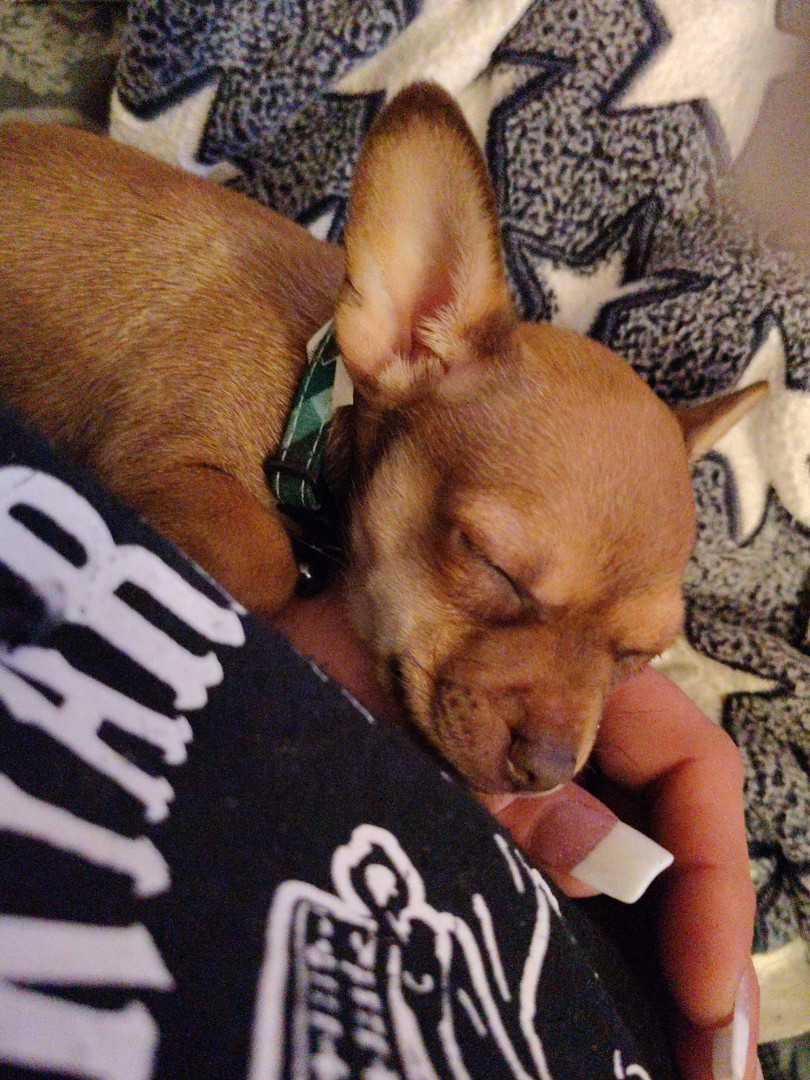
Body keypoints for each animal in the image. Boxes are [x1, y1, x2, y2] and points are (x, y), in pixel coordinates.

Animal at [0, 83, 764, 794]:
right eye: (491, 565)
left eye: (639, 656)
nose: (547, 770)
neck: (312, 404)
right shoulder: (168, 451)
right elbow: (262, 555)